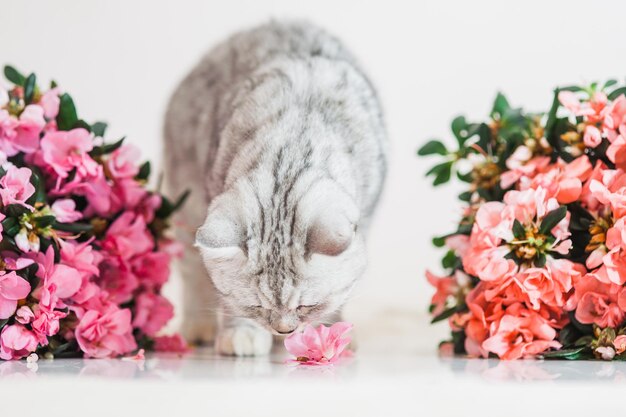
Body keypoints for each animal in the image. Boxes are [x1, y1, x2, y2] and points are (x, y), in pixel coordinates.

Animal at [162, 20, 386, 354]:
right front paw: (241, 336)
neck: (292, 148)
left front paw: (327, 335)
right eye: (256, 306)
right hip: (185, 204)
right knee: (192, 276)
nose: (283, 330)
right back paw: (198, 329)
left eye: (307, 306)